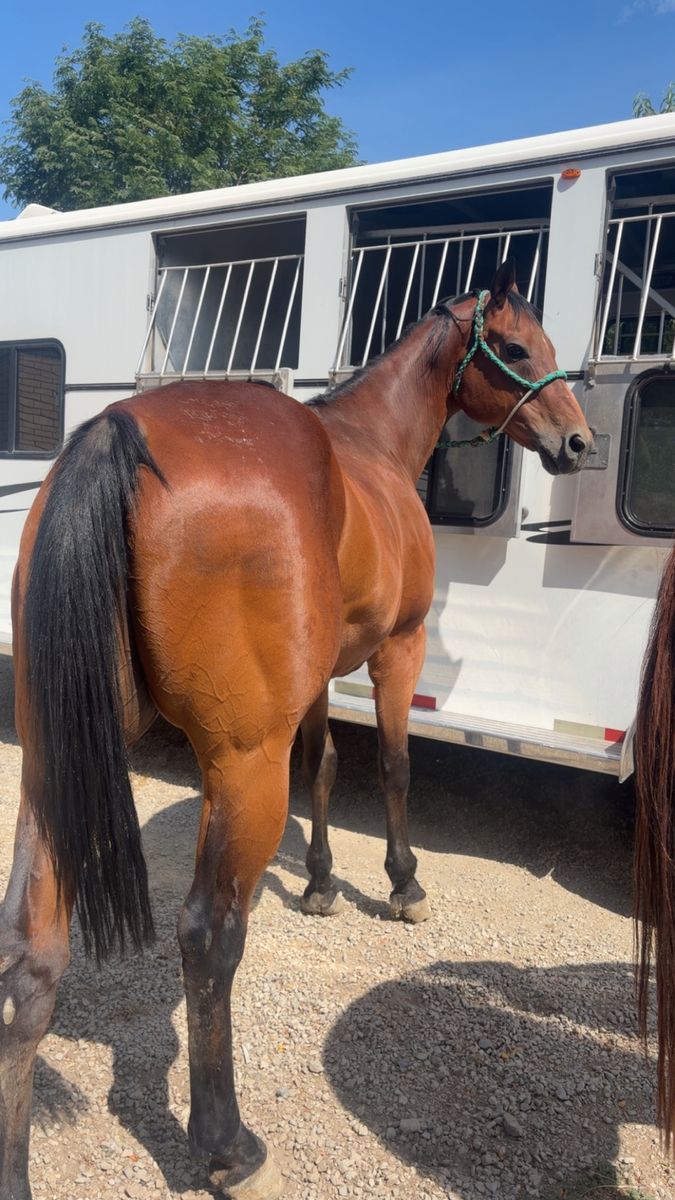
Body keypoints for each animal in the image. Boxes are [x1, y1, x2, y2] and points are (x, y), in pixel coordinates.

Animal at [0, 260, 592, 1200]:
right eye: (516, 345)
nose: (576, 441)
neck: (372, 446)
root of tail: (118, 435)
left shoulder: (317, 681)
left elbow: (323, 767)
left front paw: (316, 882)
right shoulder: (395, 651)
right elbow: (391, 769)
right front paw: (401, 884)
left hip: (56, 767)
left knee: (31, 953)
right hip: (242, 767)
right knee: (208, 936)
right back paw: (226, 1147)